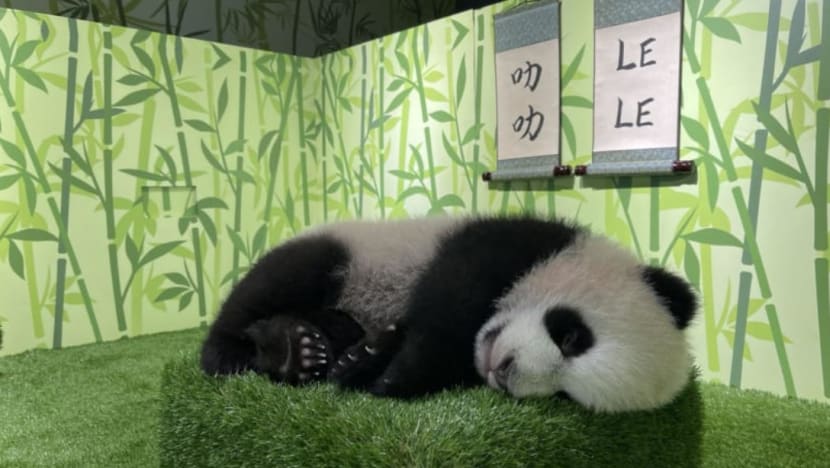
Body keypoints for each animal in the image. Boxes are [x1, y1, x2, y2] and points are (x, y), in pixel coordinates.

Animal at [200, 214, 698, 413]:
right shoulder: (510, 241)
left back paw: (298, 350)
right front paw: (390, 374)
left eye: (566, 396)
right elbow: (449, 297)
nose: (504, 370)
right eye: (573, 337)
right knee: (279, 280)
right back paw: (230, 351)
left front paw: (368, 361)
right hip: (348, 248)